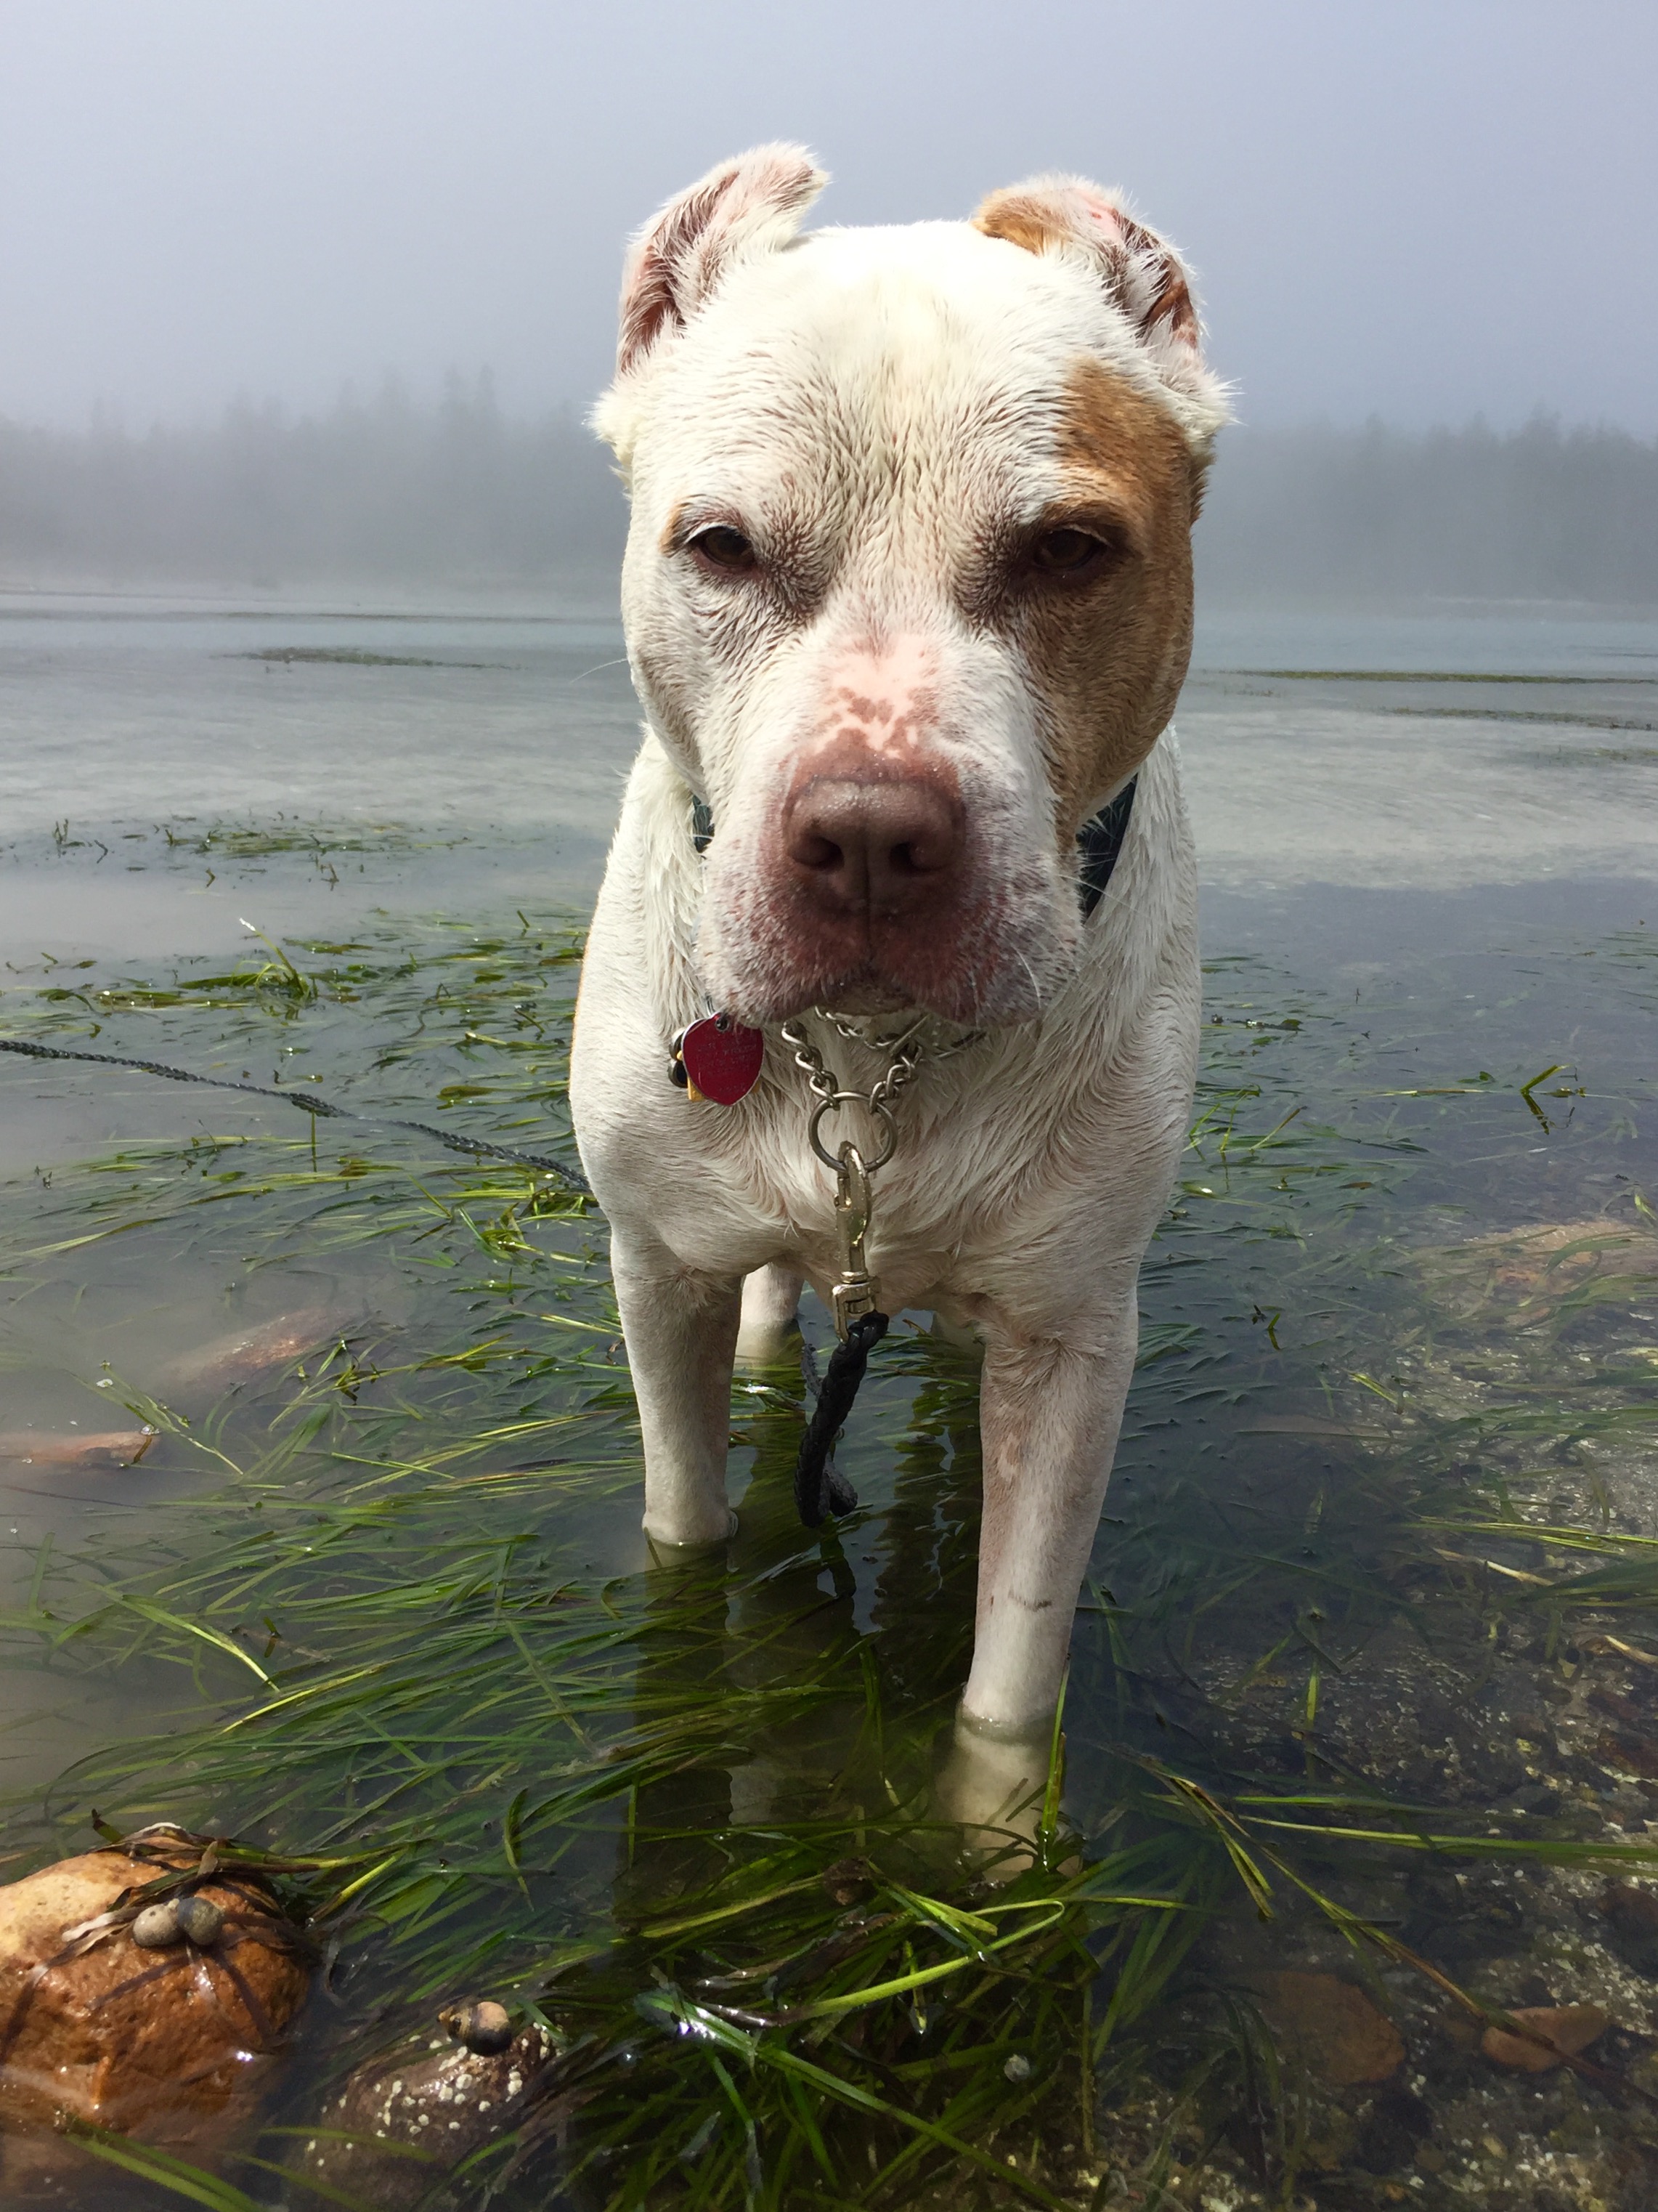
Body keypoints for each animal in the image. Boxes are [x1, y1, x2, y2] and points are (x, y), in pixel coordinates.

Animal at [574, 147, 1238, 1823]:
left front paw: (988, 1843)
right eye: (719, 546)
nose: (871, 836)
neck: (867, 1056)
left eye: (1068, 552)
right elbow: (684, 1527)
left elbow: (1013, 1655)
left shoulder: (1073, 1337)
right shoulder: (653, 1267)